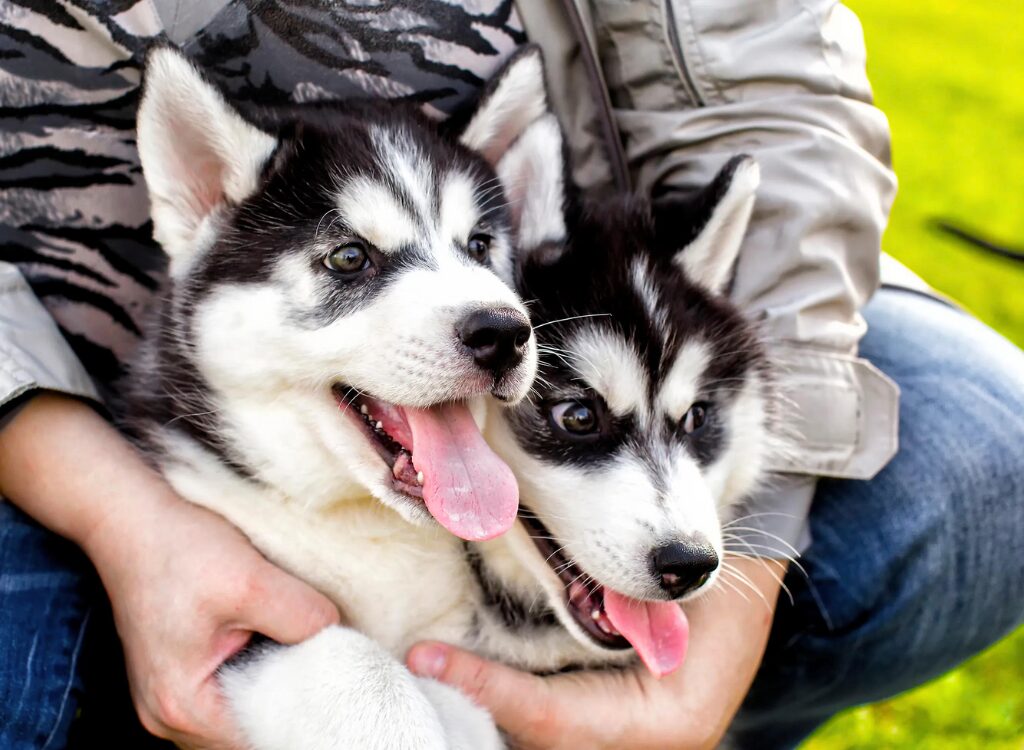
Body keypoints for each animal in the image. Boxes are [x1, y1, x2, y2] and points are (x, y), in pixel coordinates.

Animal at [125, 45, 774, 750]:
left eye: (481, 247)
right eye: (349, 257)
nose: (504, 332)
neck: (366, 528)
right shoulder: (247, 614)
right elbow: (360, 669)